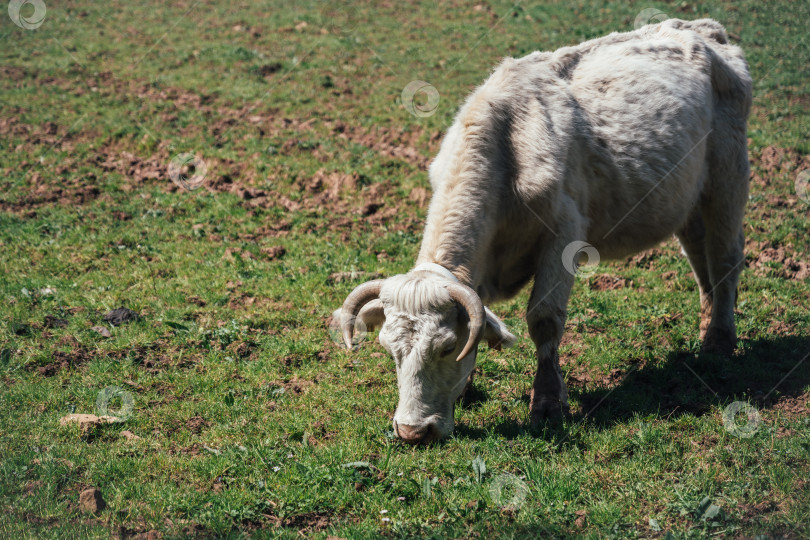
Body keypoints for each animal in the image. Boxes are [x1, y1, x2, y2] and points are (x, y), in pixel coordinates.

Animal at [334, 19, 752, 446]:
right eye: (389, 349)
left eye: (447, 346)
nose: (413, 431)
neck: (507, 148)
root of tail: (700, 30)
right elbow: (481, 315)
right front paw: (467, 390)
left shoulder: (563, 236)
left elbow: (544, 319)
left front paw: (548, 404)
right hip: (687, 201)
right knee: (700, 259)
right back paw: (706, 329)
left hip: (728, 177)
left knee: (725, 258)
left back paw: (720, 341)